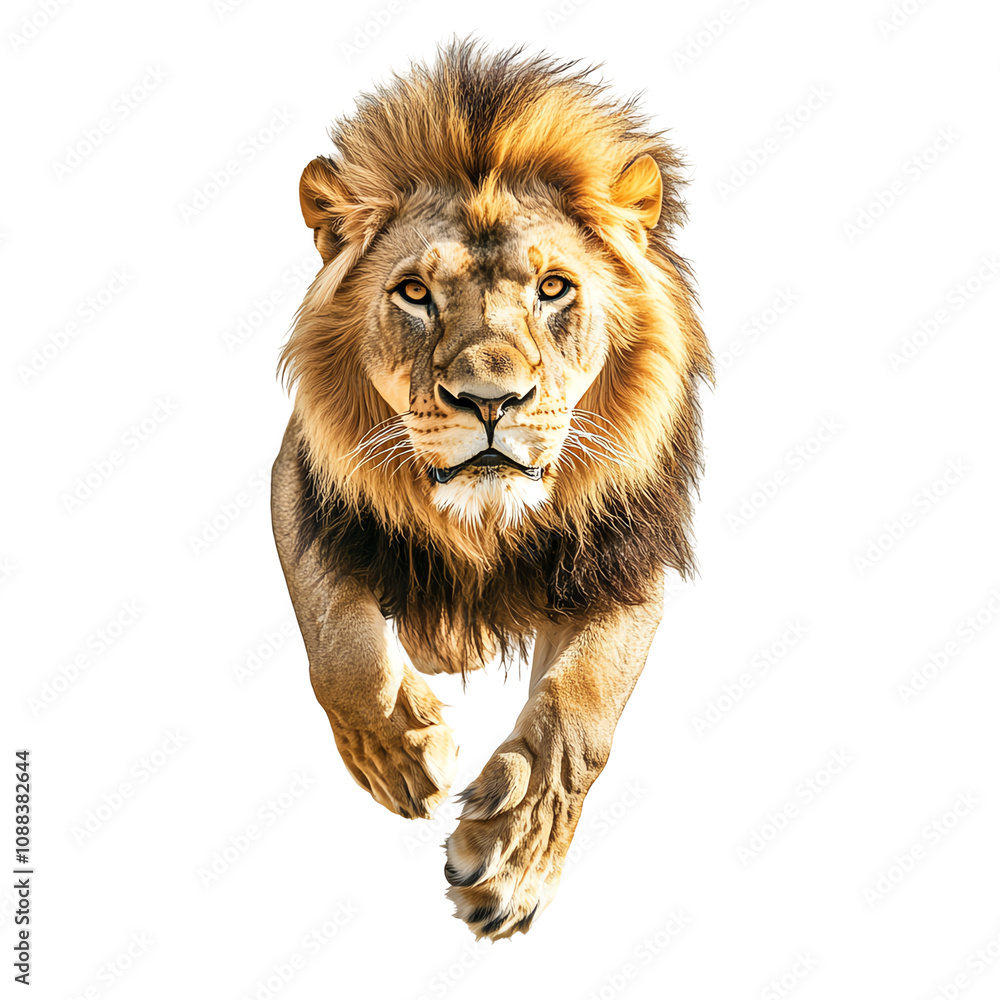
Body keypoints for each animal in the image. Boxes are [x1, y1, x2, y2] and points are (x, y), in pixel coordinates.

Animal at [271, 40, 711, 940]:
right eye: (413, 292)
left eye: (553, 288)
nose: (489, 398)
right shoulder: (304, 489)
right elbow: (342, 650)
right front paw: (405, 755)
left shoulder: (626, 558)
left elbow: (579, 711)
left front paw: (510, 862)